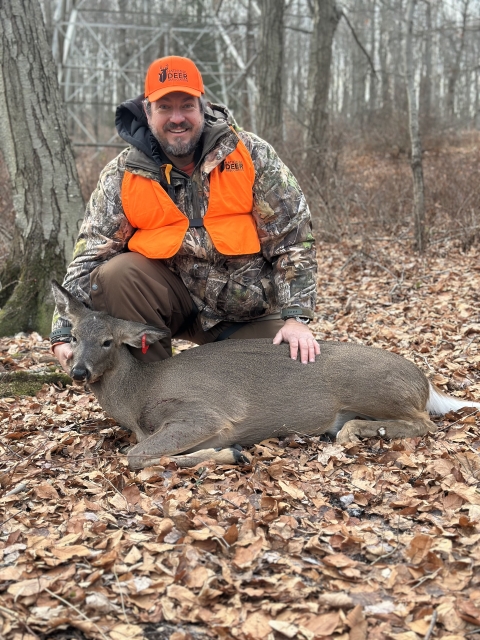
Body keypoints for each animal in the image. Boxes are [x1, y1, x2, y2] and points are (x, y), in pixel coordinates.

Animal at [51, 280, 480, 470]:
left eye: (107, 341)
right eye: (72, 336)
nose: (78, 371)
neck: (138, 394)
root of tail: (425, 381)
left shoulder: (201, 414)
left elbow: (135, 456)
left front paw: (230, 452)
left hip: (370, 387)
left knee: (425, 422)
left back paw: (351, 431)